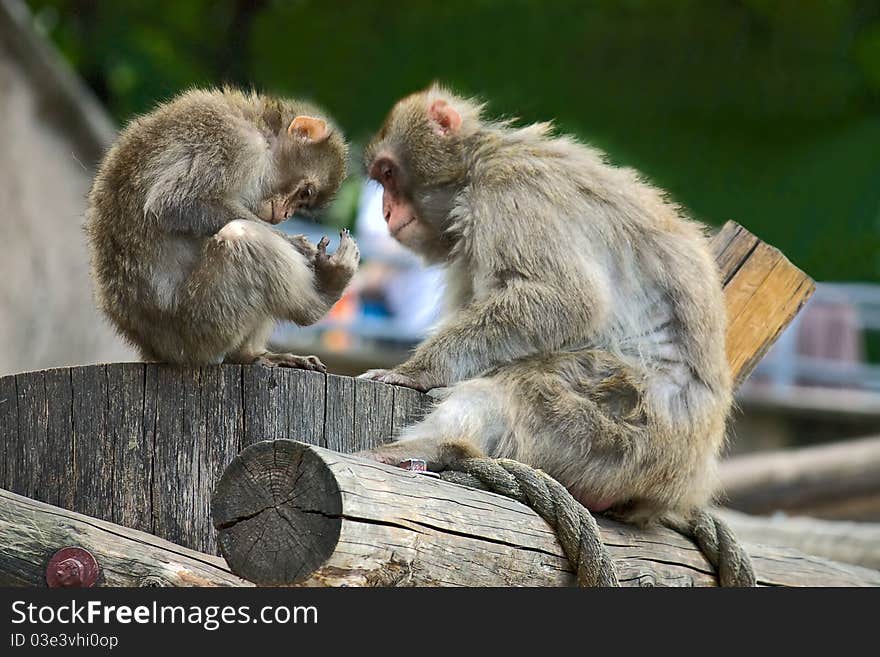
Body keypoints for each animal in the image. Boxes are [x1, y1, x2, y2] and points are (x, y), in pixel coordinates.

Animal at [83, 87, 358, 368]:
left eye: (304, 201)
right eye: (305, 192)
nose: (285, 215)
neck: (260, 131)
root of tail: (152, 350)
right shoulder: (233, 143)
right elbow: (175, 203)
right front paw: (296, 244)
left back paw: (250, 353)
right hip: (199, 328)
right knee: (243, 236)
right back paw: (321, 298)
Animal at [360, 86, 732, 528]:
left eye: (388, 174)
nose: (385, 211)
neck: (476, 164)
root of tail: (679, 484)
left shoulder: (511, 190)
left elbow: (567, 299)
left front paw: (416, 372)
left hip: (619, 431)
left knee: (524, 387)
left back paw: (430, 447)